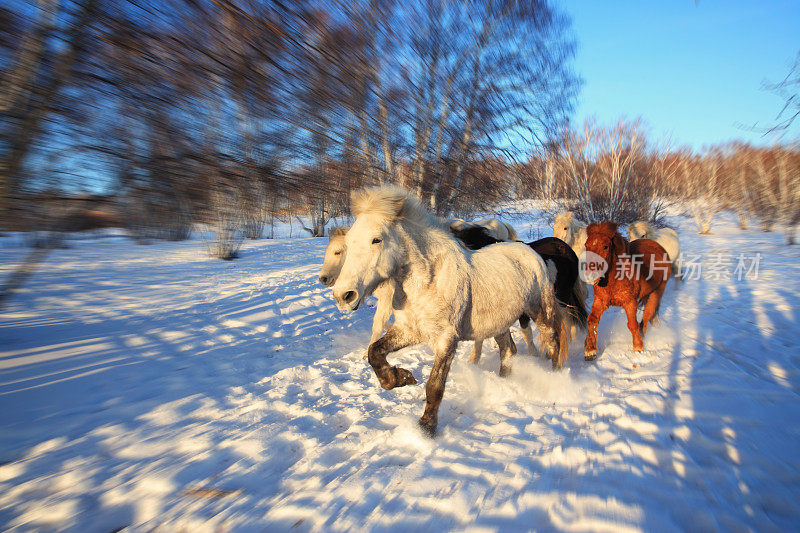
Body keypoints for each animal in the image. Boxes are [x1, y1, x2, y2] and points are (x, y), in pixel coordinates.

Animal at [332, 185, 568, 434]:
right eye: (348, 243)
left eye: (376, 239)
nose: (344, 295)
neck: (427, 282)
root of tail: (531, 252)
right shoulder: (408, 330)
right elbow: (374, 352)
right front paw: (400, 378)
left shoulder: (446, 339)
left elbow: (435, 386)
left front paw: (426, 427)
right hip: (499, 323)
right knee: (508, 350)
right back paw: (504, 384)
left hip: (540, 310)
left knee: (553, 342)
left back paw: (555, 381)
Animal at [580, 220, 668, 358]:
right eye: (586, 245)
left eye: (605, 246)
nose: (590, 275)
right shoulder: (600, 300)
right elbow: (592, 320)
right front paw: (590, 350)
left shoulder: (630, 302)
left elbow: (632, 324)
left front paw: (638, 347)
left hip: (657, 292)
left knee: (647, 315)